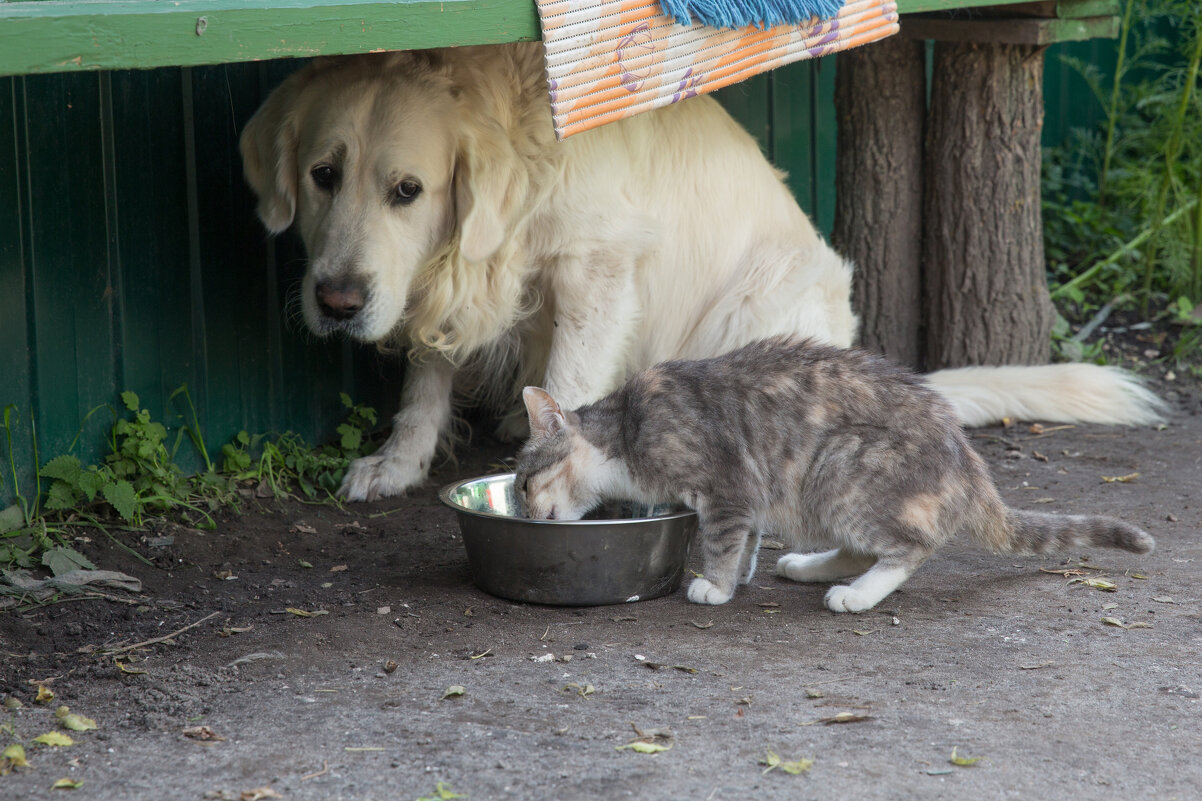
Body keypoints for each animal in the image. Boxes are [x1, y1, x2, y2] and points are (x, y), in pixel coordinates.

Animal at [241, 40, 1163, 500]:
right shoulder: (451, 272)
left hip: (756, 307)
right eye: (324, 175)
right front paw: (397, 465)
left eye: (408, 189)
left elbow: (568, 387)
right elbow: (426, 384)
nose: (337, 300)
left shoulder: (597, 269)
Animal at [516, 334, 1153, 608]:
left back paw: (859, 594)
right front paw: (742, 574)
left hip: (841, 466)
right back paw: (809, 567)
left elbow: (721, 540)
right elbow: (746, 539)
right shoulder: (749, 498)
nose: (523, 511)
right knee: (859, 546)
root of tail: (969, 463)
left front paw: (715, 587)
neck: (625, 431)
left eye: (523, 482)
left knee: (911, 546)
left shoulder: (729, 484)